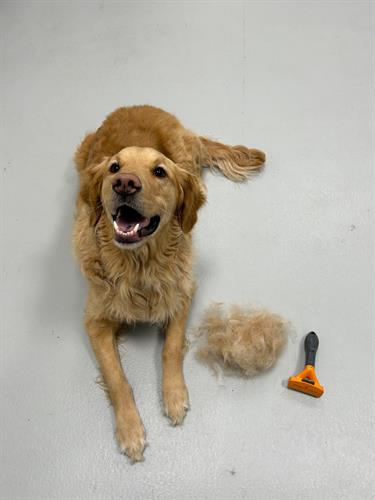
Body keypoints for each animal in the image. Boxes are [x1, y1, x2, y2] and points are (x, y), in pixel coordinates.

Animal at [73, 105, 266, 460]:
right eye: (114, 167)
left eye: (159, 172)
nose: (124, 183)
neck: (139, 267)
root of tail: (142, 106)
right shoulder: (95, 321)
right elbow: (117, 377)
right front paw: (130, 430)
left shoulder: (183, 293)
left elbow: (171, 347)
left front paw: (174, 396)